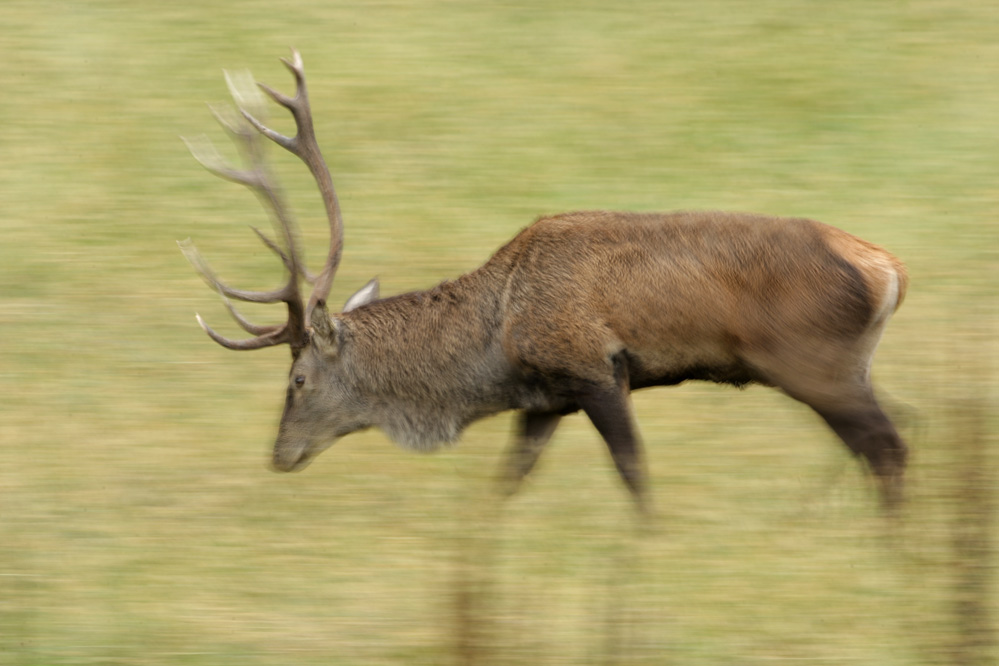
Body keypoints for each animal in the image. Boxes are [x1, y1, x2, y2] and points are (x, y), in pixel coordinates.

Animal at [181, 51, 909, 514]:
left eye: (297, 380)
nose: (279, 455)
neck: (495, 345)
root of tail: (889, 269)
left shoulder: (591, 367)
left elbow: (635, 476)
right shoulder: (545, 399)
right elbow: (505, 484)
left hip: (813, 361)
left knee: (888, 446)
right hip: (849, 365)